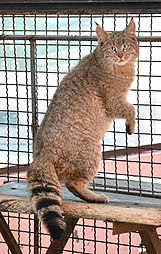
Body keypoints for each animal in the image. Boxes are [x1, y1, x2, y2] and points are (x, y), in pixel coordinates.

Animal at [27, 18, 138, 240]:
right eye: (113, 48)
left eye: (125, 46)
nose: (121, 55)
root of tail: (41, 155)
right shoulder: (113, 102)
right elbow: (131, 108)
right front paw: (131, 124)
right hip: (91, 152)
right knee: (73, 183)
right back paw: (94, 197)